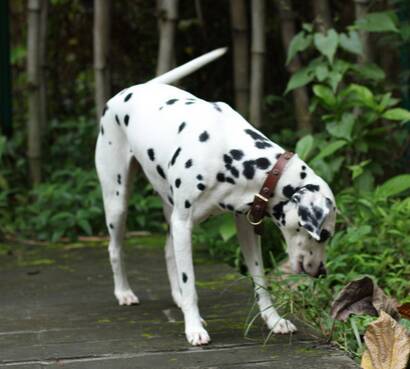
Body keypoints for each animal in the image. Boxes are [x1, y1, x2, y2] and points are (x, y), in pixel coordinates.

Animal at [96, 48, 336, 344]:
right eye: (324, 235)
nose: (323, 272)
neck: (231, 153)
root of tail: (134, 88)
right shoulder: (183, 223)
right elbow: (190, 282)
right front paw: (193, 328)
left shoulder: (245, 226)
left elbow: (260, 280)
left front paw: (273, 320)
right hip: (118, 203)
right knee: (115, 249)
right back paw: (124, 293)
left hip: (170, 211)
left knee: (168, 251)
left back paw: (177, 299)